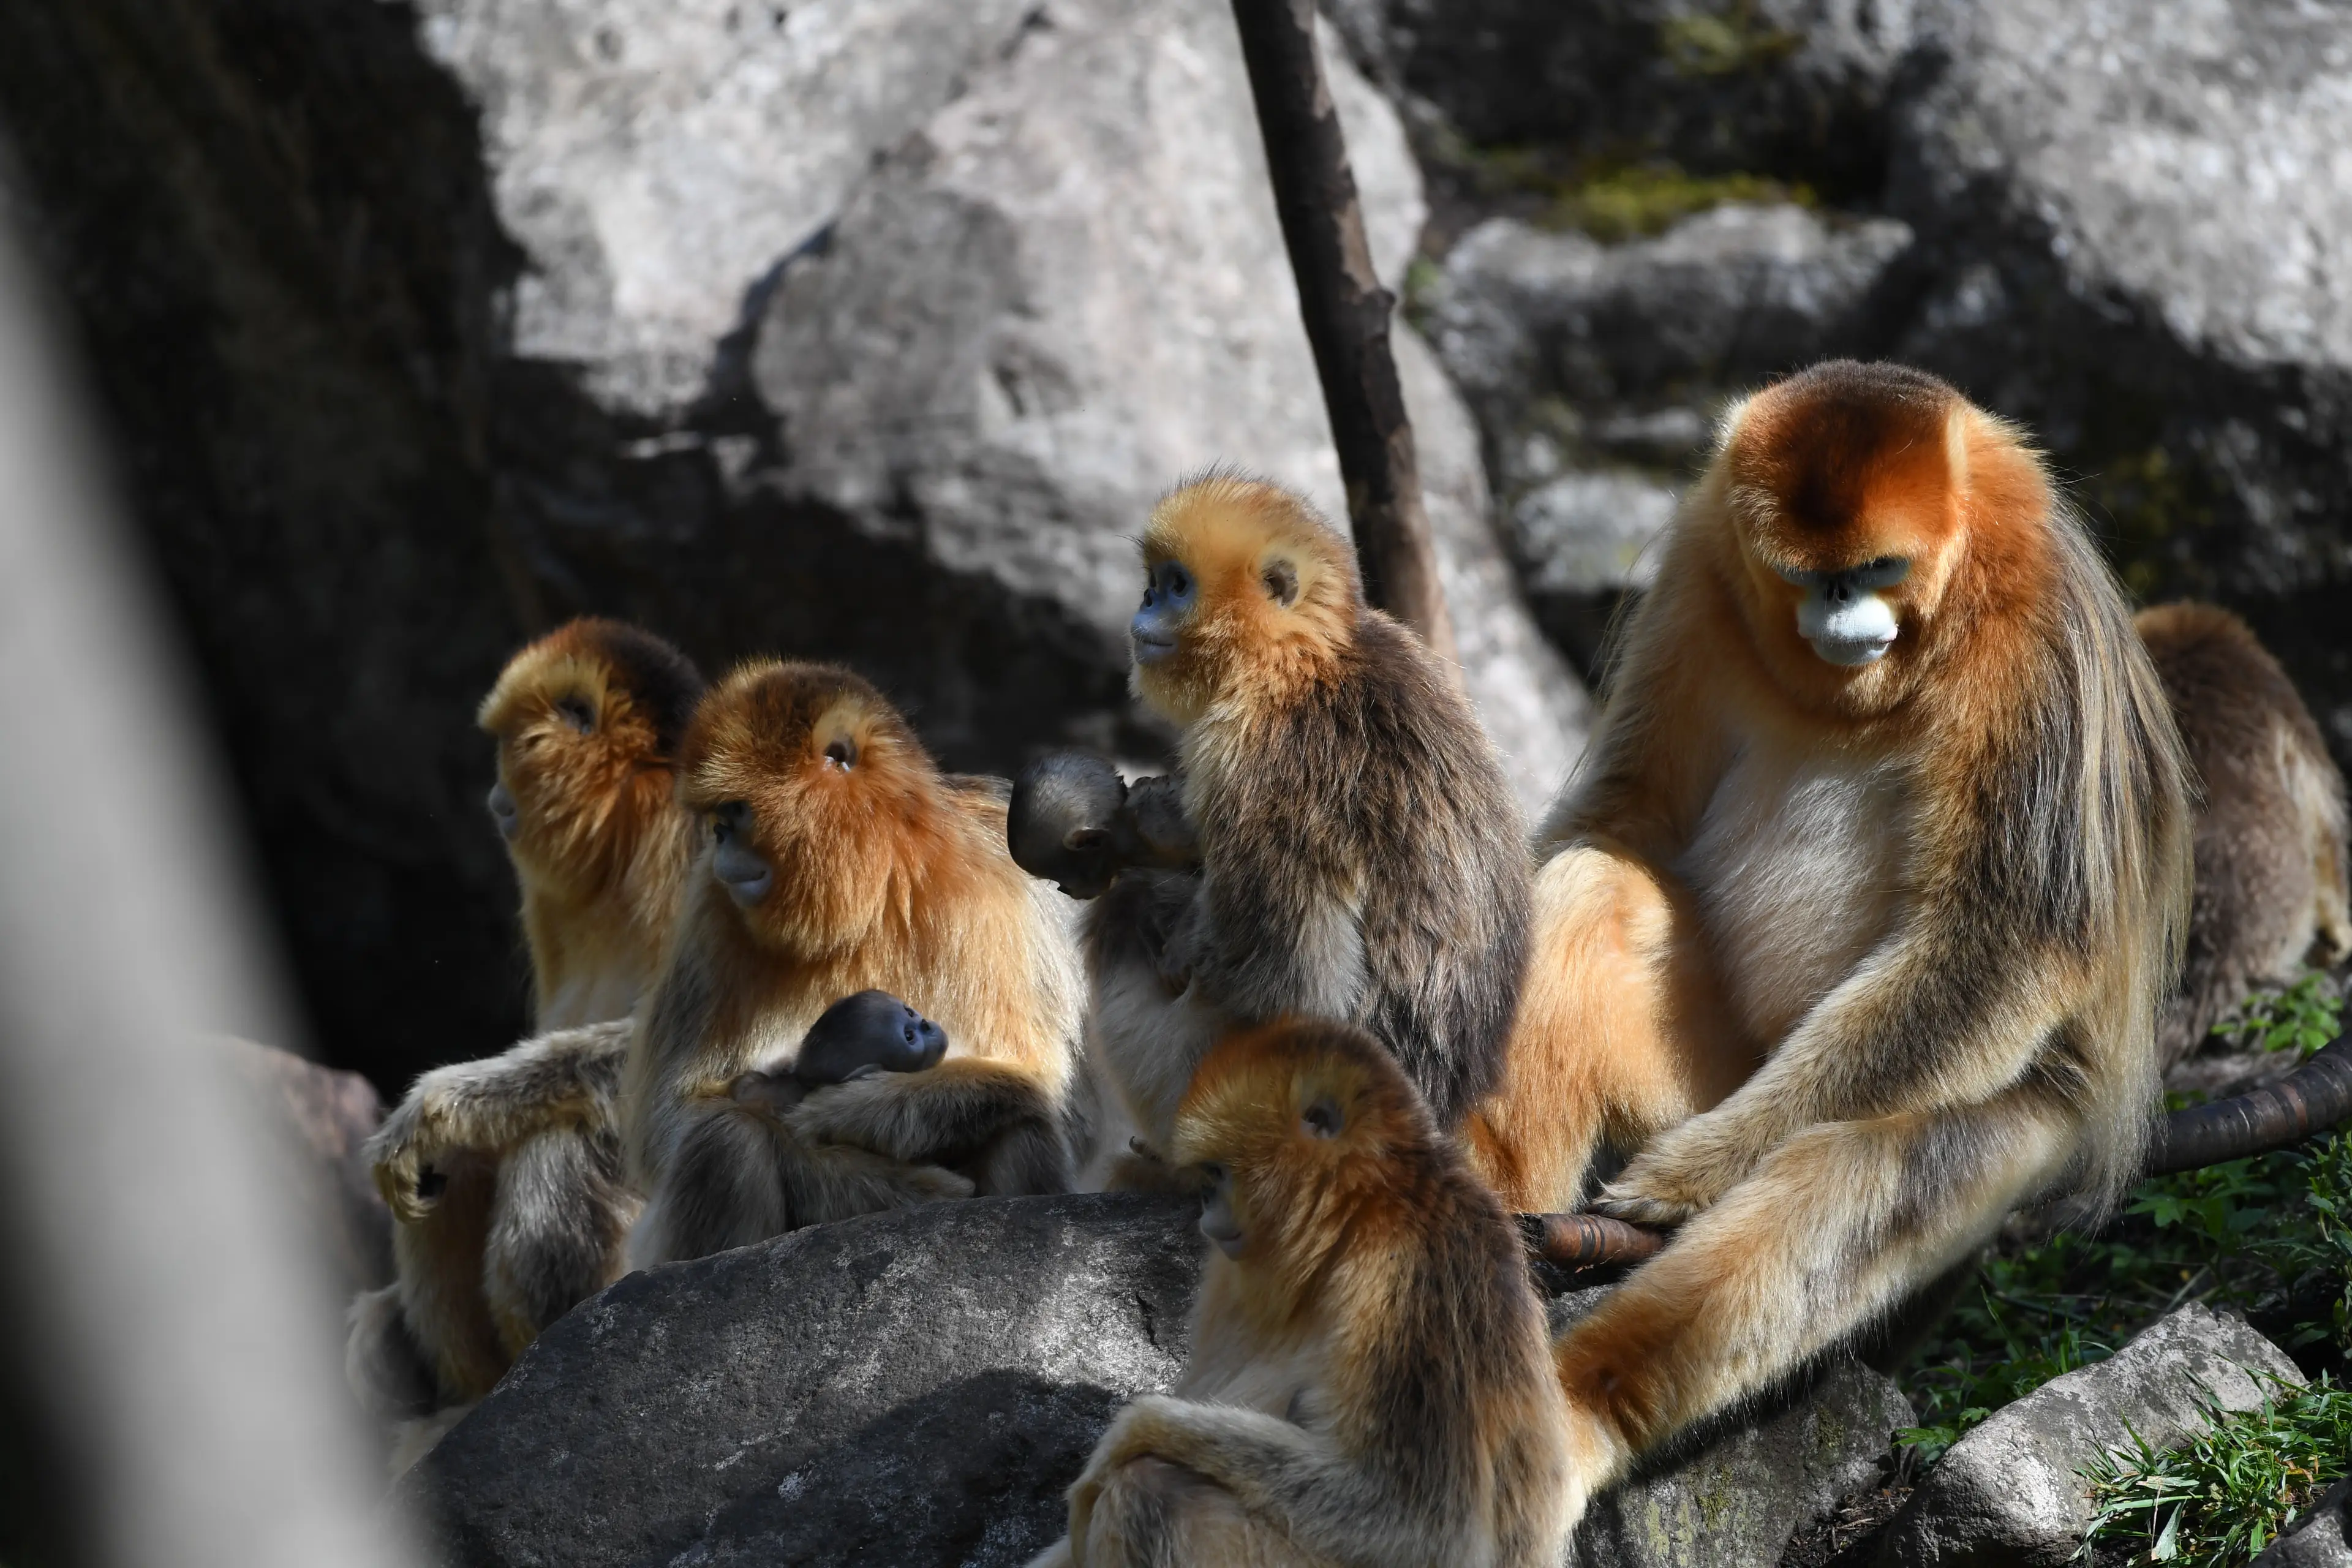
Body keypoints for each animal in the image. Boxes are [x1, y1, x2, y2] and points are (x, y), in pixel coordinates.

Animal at [347, 619, 702, 1446]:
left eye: (507, 745)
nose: (492, 796)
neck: (637, 808)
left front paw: (433, 1105)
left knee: (561, 1145)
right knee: (460, 1166)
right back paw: (470, 1389)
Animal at [623, 659, 1086, 1267]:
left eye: (735, 812)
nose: (720, 839)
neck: (872, 887)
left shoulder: (992, 883)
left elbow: (1032, 1075)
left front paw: (842, 1112)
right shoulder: (711, 900)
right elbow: (676, 1121)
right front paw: (914, 1185)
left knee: (1024, 1122)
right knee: (722, 1137)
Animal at [1025, 1018, 1571, 1568]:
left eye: (1218, 1174)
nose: (1206, 1211)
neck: (1364, 1213)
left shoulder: (1414, 1271)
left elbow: (1426, 1529)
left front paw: (1134, 1430)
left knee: (1147, 1488)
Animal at [1074, 473, 1530, 1169]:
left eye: (1176, 584)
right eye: (1155, 581)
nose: (1147, 598)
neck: (1300, 659)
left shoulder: (1260, 756)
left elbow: (1296, 983)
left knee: (1129, 912)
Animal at [1456, 361, 2191, 1518]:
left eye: (1879, 571)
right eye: (1810, 578)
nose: (1846, 622)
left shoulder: (2039, 621)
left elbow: (2002, 946)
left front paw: (1695, 1177)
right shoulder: (1704, 563)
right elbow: (1628, 818)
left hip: (2014, 1117)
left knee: (1855, 1179)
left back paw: (1576, 1407)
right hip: (1711, 1062)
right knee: (1595, 887)